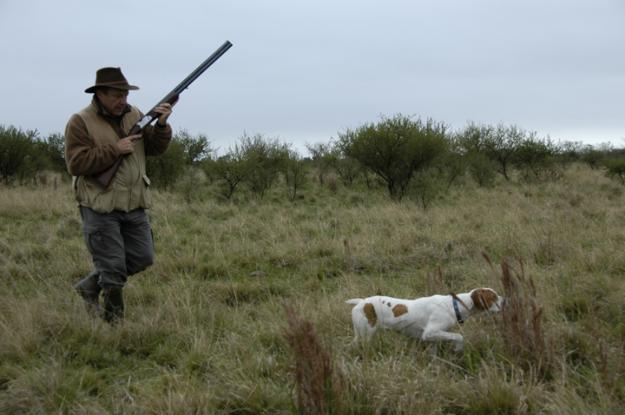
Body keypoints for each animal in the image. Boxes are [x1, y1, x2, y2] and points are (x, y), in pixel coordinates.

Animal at [346, 288, 502, 352]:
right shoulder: (430, 333)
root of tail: (361, 302)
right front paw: (458, 348)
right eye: (494, 297)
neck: (453, 305)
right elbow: (459, 336)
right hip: (365, 335)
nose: (505, 300)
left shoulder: (432, 338)